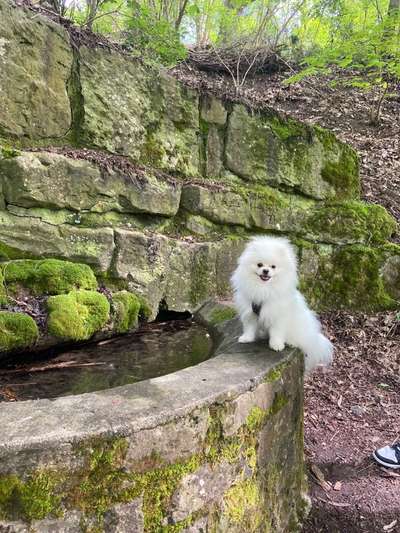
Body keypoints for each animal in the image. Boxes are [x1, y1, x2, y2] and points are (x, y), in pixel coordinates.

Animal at [230, 235, 332, 372]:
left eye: (273, 266)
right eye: (259, 264)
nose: (265, 270)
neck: (264, 288)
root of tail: (313, 337)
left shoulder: (278, 315)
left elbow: (277, 332)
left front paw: (276, 345)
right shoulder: (250, 312)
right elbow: (250, 327)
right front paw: (247, 338)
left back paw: (291, 342)